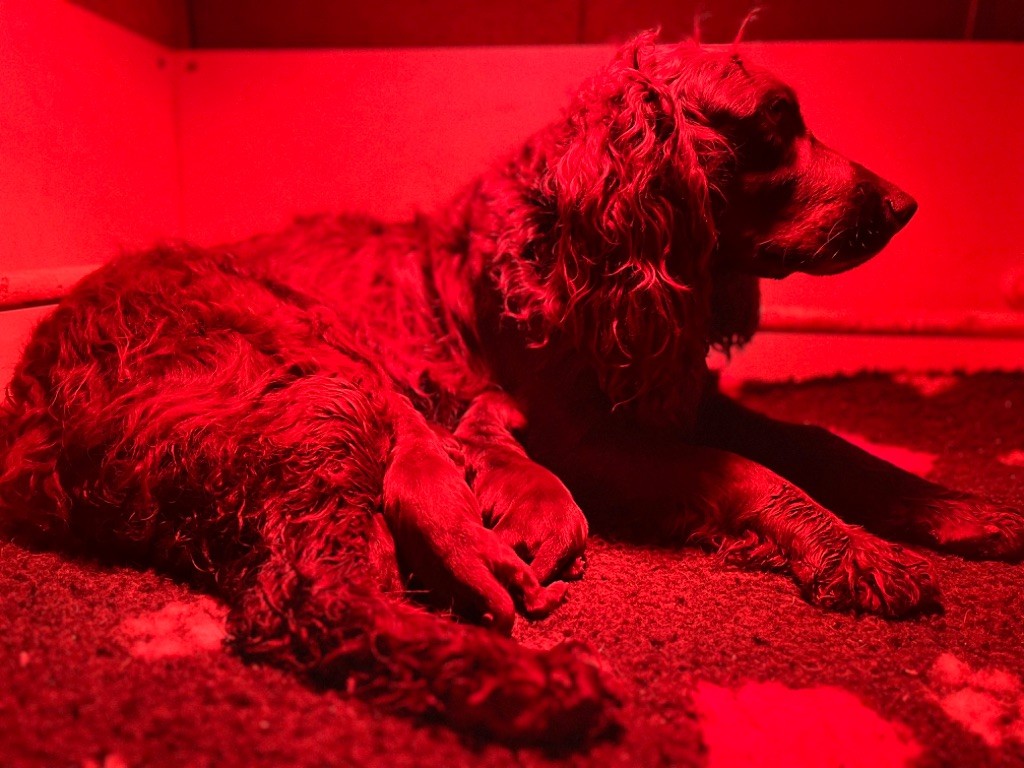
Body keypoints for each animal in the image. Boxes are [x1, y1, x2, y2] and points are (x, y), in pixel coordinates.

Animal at [2, 34, 1024, 745]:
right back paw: (535, 688)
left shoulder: (671, 391)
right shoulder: (585, 440)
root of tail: (33, 417)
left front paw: (955, 507)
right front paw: (857, 552)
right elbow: (743, 469)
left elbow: (819, 442)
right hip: (325, 387)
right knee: (306, 599)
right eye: (775, 124)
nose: (905, 205)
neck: (583, 242)